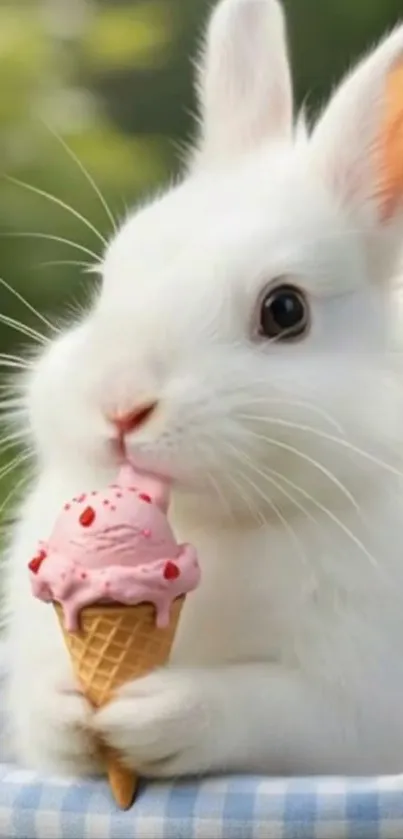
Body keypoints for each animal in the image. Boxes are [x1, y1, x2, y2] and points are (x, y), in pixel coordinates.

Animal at [4, 0, 403, 778]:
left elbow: (268, 705)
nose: (121, 405)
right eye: (106, 279)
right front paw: (65, 708)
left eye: (285, 310)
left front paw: (158, 713)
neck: (219, 525)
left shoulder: (354, 708)